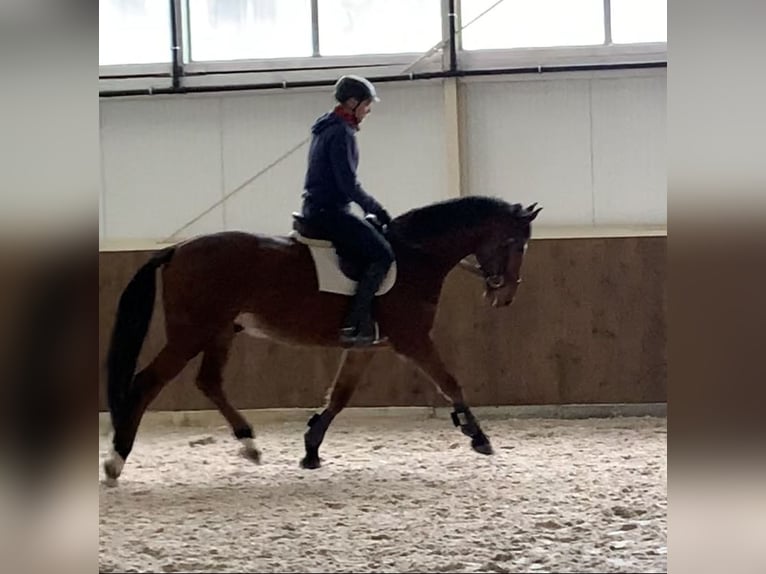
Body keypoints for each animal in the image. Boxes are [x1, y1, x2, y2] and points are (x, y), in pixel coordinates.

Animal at [102, 195, 542, 483]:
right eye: (514, 243)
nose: (504, 295)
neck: (415, 255)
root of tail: (176, 249)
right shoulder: (412, 339)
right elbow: (450, 382)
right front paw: (477, 435)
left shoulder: (367, 347)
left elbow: (340, 395)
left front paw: (311, 448)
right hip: (191, 333)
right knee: (147, 383)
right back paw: (115, 461)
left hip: (220, 331)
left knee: (209, 382)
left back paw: (249, 444)